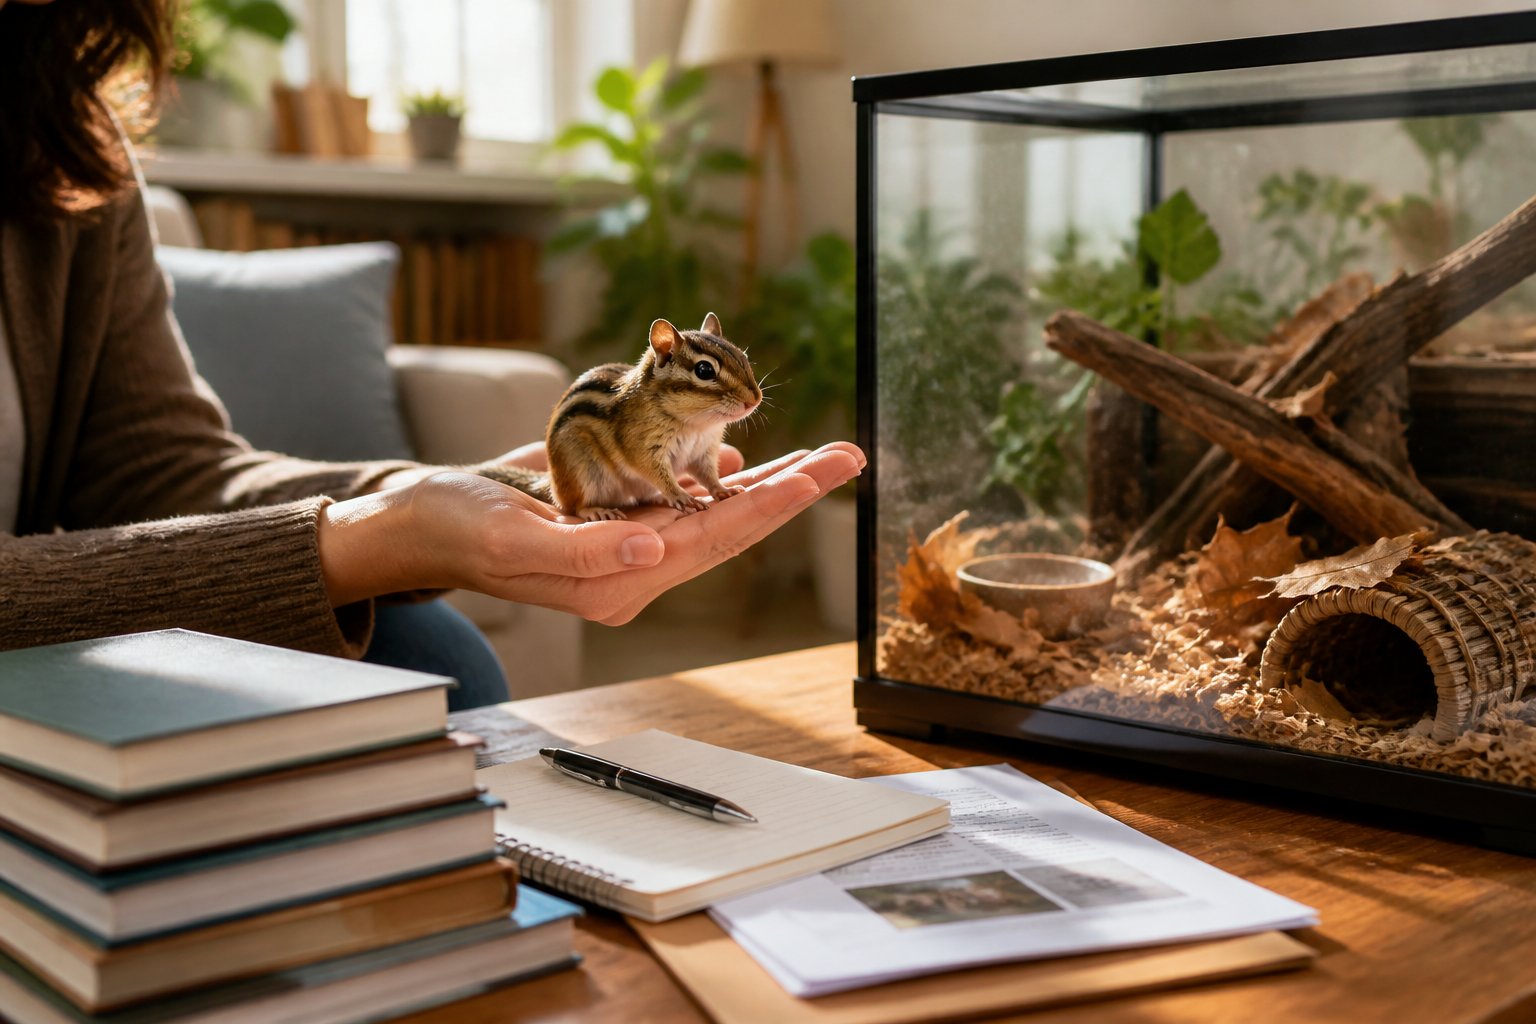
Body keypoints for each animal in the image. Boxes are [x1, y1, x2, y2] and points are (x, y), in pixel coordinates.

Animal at [478, 313, 763, 522]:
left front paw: (722, 489)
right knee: (571, 507)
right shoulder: (641, 446)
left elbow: (707, 475)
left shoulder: (703, 451)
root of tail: (552, 484)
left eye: (743, 357)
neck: (695, 425)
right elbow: (656, 472)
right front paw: (679, 495)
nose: (755, 399)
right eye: (704, 370)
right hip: (581, 470)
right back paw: (596, 510)